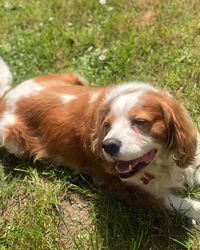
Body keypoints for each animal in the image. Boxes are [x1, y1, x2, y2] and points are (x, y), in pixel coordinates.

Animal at [0, 58, 199, 223]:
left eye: (139, 121)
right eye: (107, 125)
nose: (108, 145)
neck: (163, 164)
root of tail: (7, 94)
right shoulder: (143, 194)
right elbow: (189, 206)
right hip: (11, 139)